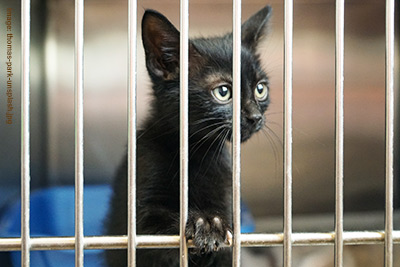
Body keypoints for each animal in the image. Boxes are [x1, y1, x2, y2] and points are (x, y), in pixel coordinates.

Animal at [104, 6, 272, 267]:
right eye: (223, 92)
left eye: (260, 88)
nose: (255, 117)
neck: (196, 153)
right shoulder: (140, 218)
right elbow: (156, 227)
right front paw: (206, 223)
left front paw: (212, 222)